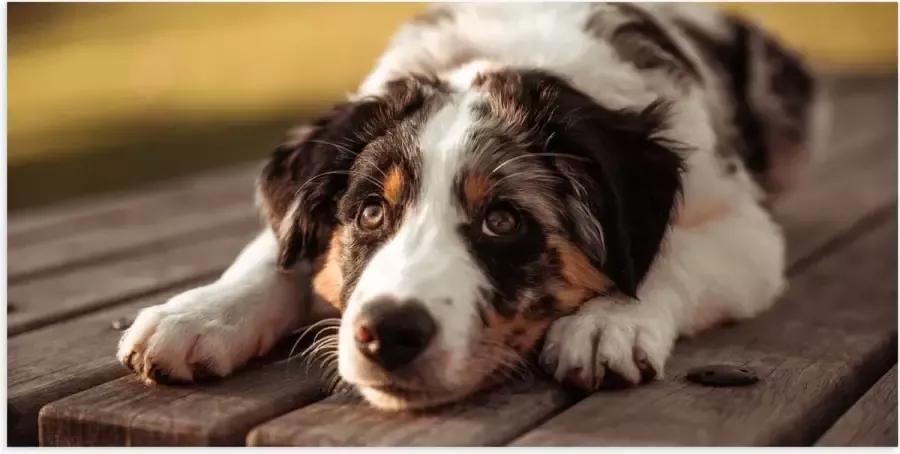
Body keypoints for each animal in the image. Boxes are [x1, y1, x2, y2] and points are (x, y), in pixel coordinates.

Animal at [116, 2, 828, 412]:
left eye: (503, 220)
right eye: (370, 213)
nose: (388, 334)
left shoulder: (746, 226)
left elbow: (671, 253)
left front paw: (609, 322)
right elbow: (274, 250)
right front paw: (198, 314)